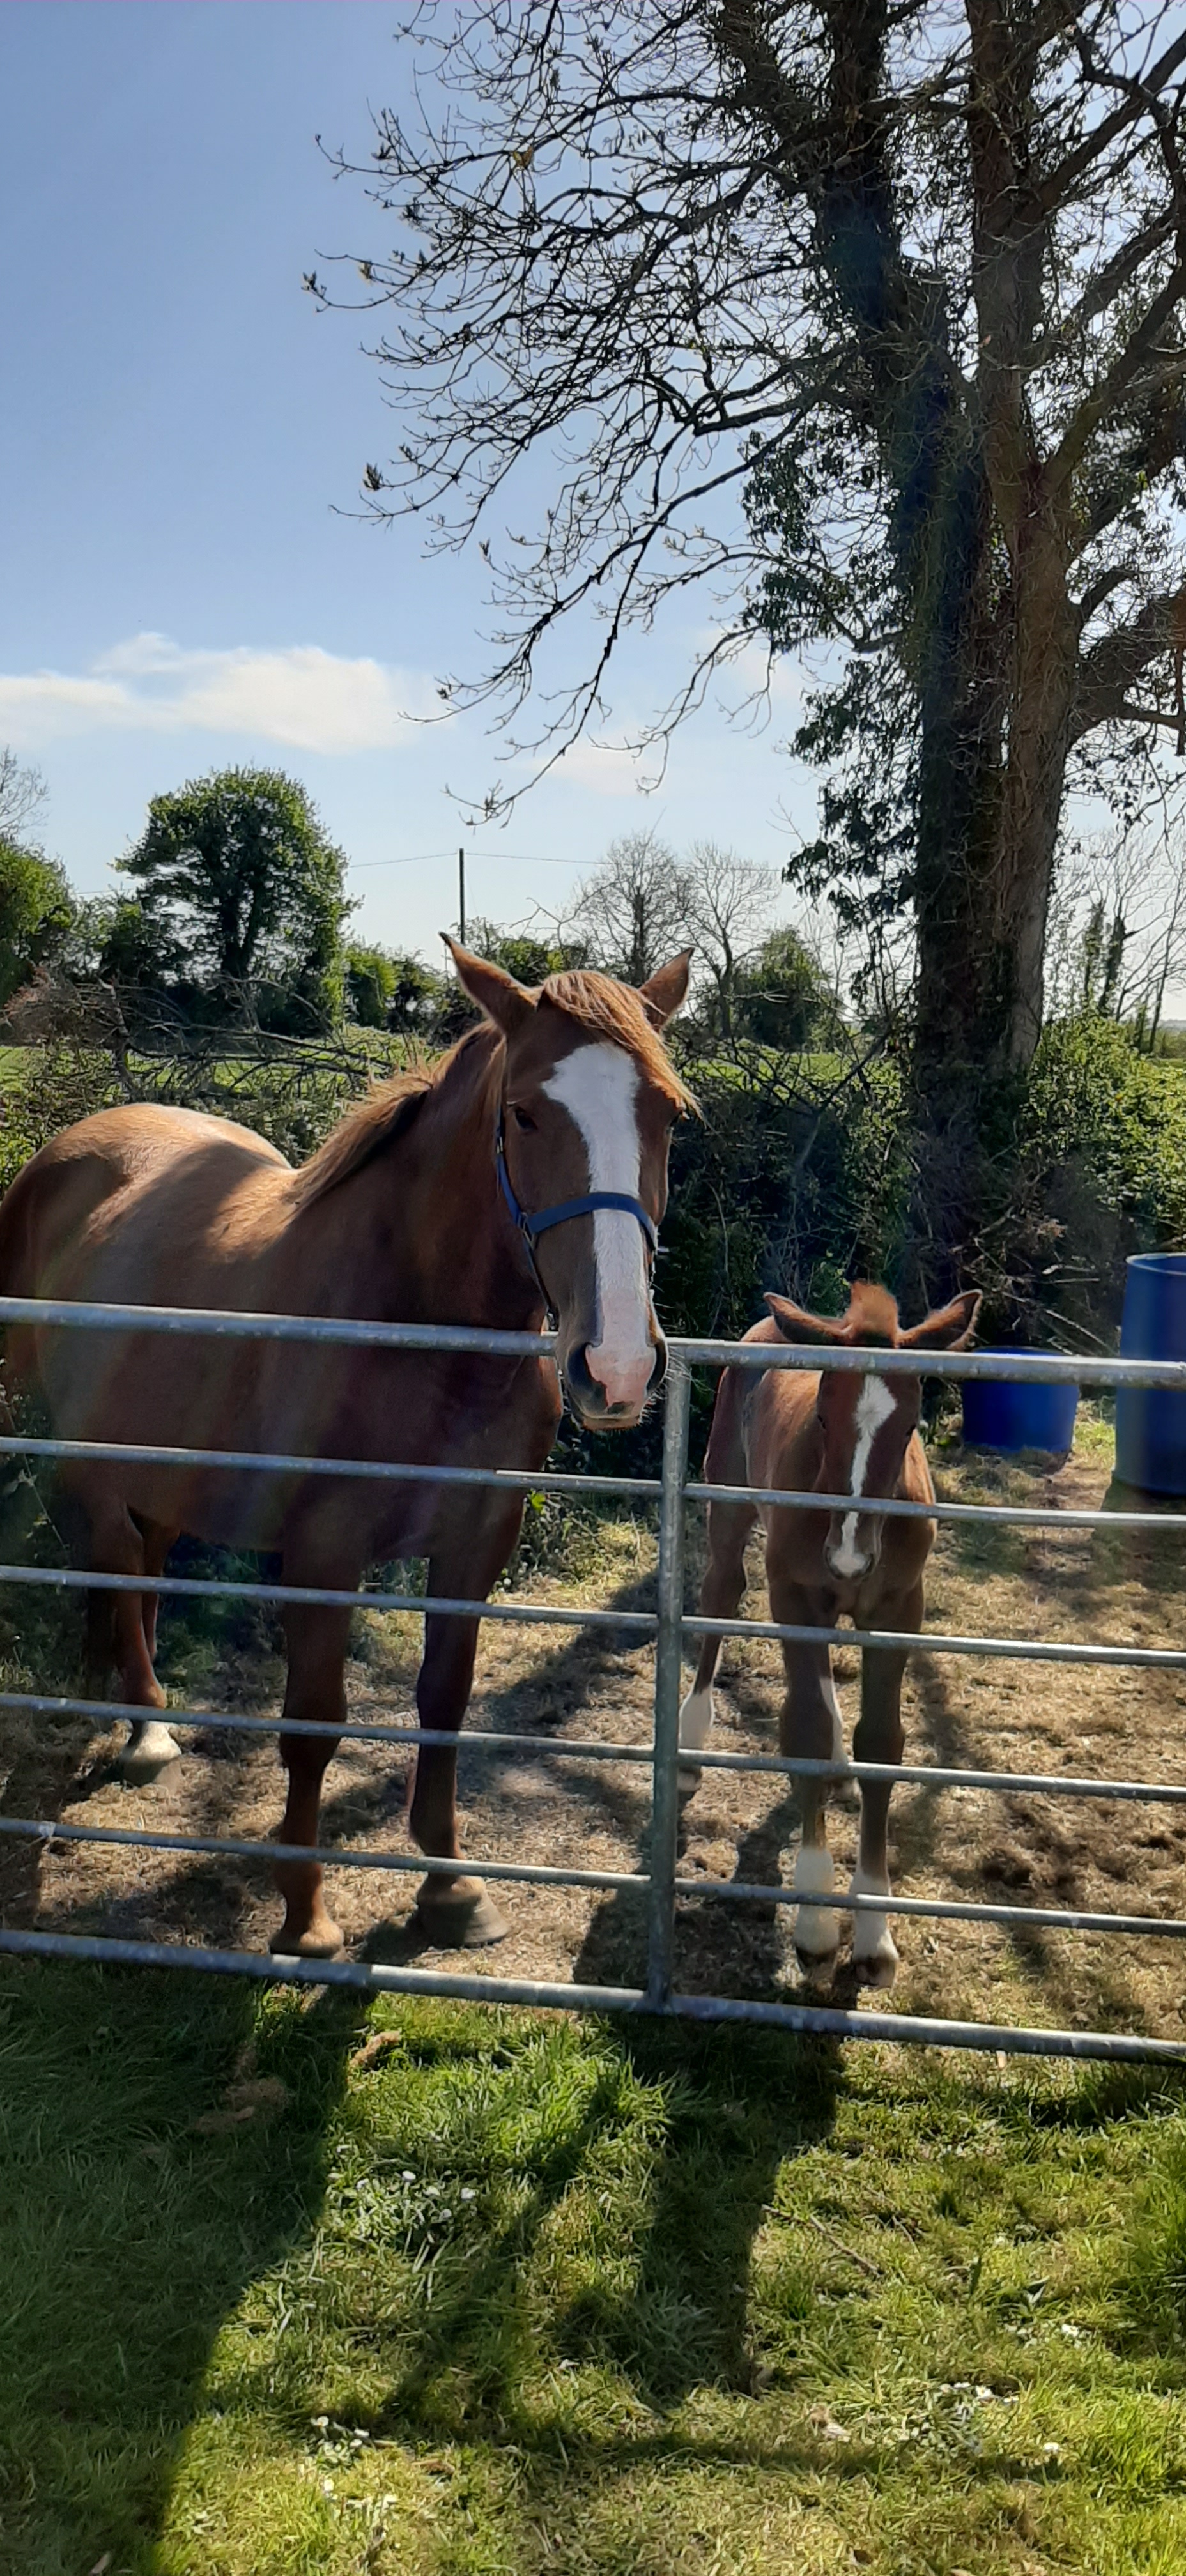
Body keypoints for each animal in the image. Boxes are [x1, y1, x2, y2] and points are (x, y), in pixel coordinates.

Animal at [0, 938, 692, 1955]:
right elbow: (315, 1725)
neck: (413, 1325)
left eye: (668, 1115)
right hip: (73, 1438)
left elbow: (444, 1703)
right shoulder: (323, 1553)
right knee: (118, 1554)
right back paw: (146, 1728)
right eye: (524, 1113)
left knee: (144, 1555)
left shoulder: (477, 1541)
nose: (616, 1365)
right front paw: (305, 1915)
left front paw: (451, 1890)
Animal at [677, 1280, 980, 1987]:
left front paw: (872, 1931)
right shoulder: (794, 1597)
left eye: (909, 1427)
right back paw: (690, 1741)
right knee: (720, 1594)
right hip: (729, 1505)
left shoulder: (898, 1610)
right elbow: (806, 1731)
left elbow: (882, 1743)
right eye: (821, 1417)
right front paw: (815, 1923)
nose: (847, 1559)